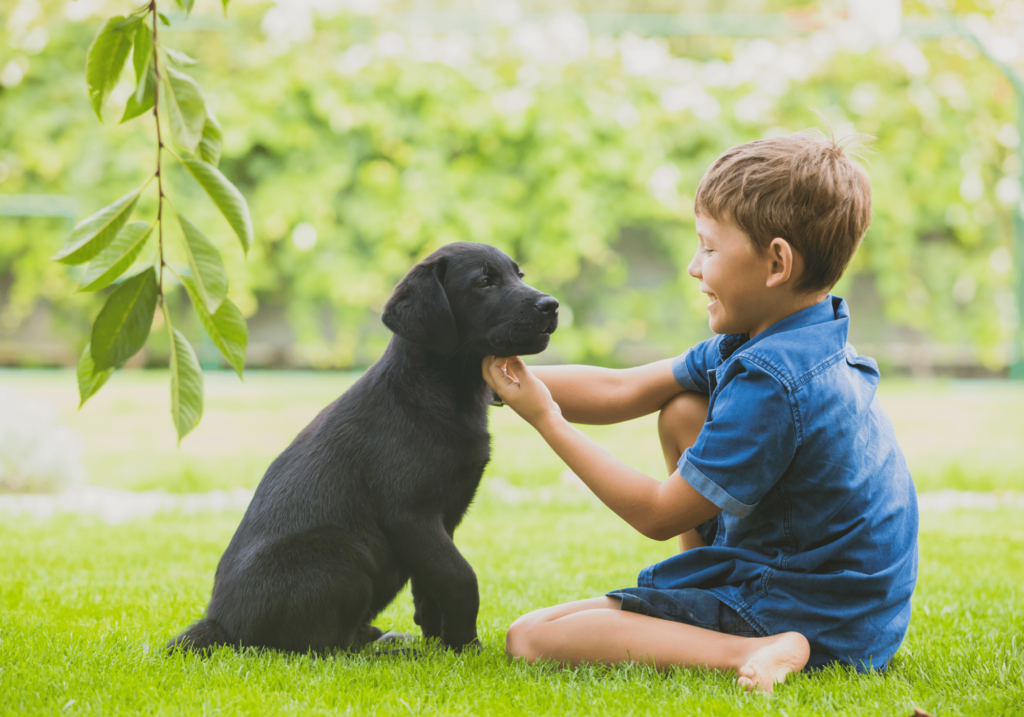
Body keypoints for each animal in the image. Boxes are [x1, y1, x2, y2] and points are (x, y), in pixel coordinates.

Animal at [165, 242, 561, 655]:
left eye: (519, 275)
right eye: (484, 282)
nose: (552, 305)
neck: (436, 391)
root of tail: (219, 623)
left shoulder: (444, 518)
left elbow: (432, 583)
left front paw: (442, 642)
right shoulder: (410, 513)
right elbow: (460, 578)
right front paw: (466, 646)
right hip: (341, 550)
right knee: (326, 648)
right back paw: (394, 651)